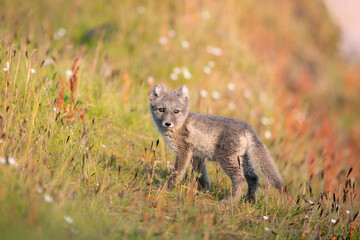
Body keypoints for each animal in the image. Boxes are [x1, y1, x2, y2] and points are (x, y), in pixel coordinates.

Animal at [149, 84, 284, 201]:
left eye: (176, 111)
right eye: (161, 110)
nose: (168, 123)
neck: (180, 125)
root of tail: (248, 127)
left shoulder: (183, 152)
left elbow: (177, 174)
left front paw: (166, 189)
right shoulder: (197, 156)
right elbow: (202, 177)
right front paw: (205, 192)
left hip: (228, 160)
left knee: (240, 180)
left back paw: (231, 202)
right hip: (244, 161)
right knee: (254, 178)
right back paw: (249, 200)